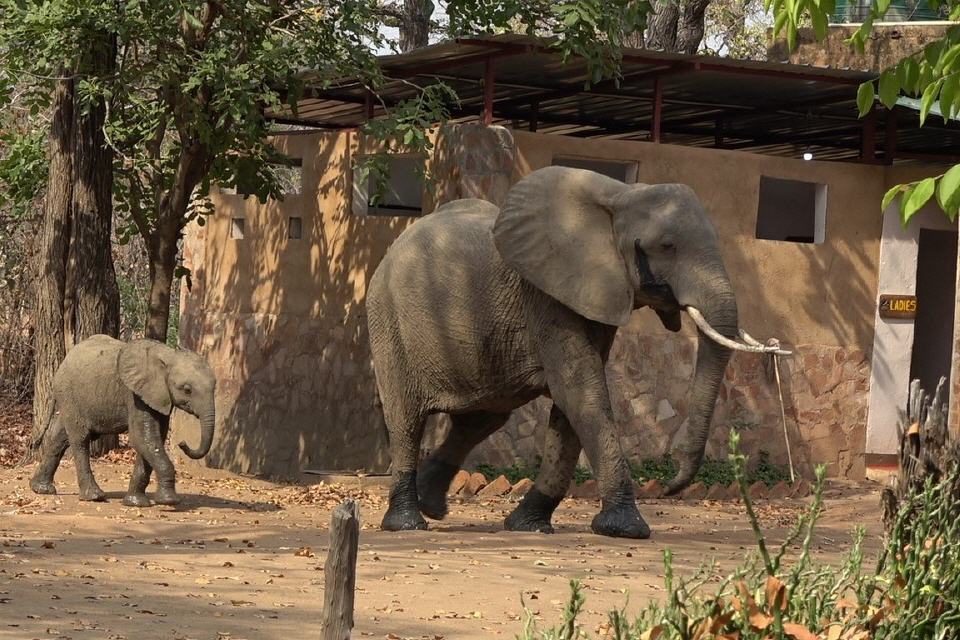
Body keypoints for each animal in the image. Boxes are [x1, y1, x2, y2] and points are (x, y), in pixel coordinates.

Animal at [31, 336, 218, 504]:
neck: (167, 355)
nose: (182, 443)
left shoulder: (158, 396)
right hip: (70, 395)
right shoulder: (135, 394)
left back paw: (41, 489)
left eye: (215, 387)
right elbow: (142, 437)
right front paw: (169, 501)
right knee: (80, 439)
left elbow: (152, 439)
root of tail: (63, 363)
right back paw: (94, 496)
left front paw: (136, 503)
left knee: (59, 437)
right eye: (187, 389)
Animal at [368, 166, 788, 540]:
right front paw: (626, 529)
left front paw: (530, 526)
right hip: (389, 320)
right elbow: (580, 389)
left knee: (484, 417)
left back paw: (432, 506)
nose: (668, 485)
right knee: (406, 418)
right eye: (667, 246)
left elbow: (572, 402)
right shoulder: (546, 294)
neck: (620, 197)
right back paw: (407, 523)